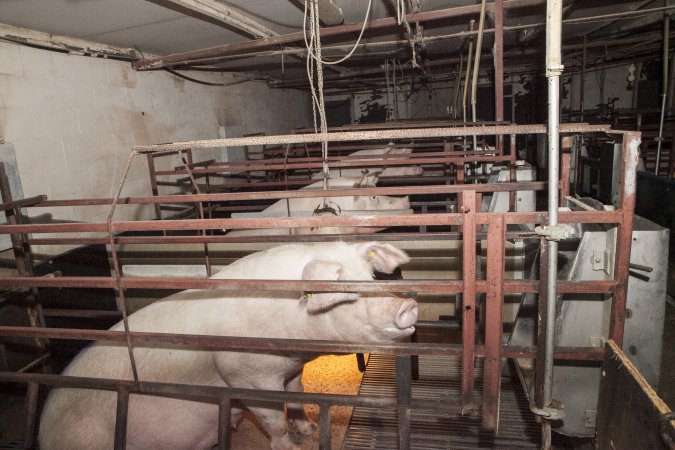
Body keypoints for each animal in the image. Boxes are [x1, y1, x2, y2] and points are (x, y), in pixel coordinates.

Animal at [39, 243, 418, 450]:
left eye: (371, 277)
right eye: (346, 292)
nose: (408, 304)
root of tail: (44, 429)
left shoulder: (290, 369)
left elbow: (297, 397)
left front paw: (309, 430)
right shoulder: (245, 374)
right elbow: (273, 419)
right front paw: (290, 445)